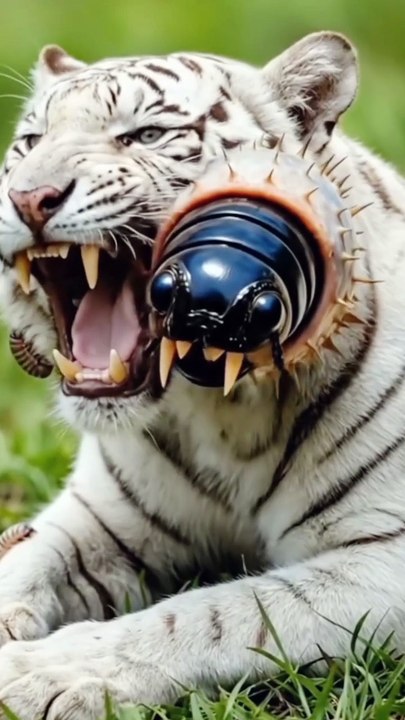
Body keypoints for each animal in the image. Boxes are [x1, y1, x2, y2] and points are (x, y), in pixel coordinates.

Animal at [0, 29, 404, 720]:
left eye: (145, 134)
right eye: (30, 142)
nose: (28, 197)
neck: (223, 409)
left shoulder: (384, 557)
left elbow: (218, 613)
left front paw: (49, 671)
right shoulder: (101, 518)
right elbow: (27, 557)